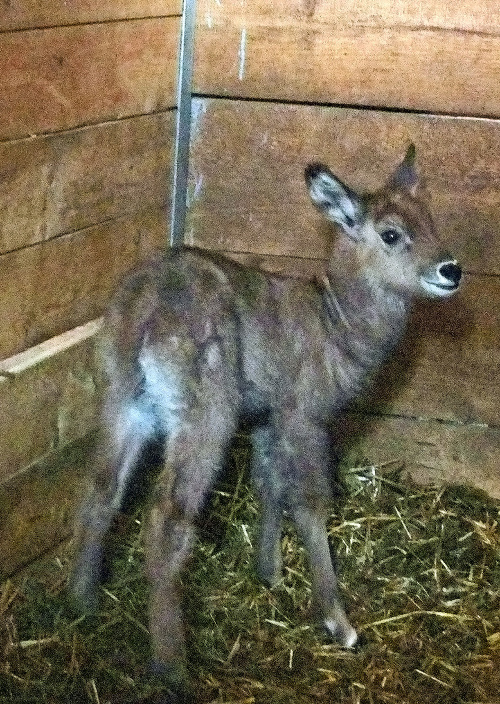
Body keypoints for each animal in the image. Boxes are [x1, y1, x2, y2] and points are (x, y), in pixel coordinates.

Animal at [72, 147, 462, 700]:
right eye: (390, 234)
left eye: (431, 220)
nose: (452, 269)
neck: (336, 325)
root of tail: (146, 306)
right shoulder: (305, 413)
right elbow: (312, 502)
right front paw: (339, 622)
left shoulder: (268, 416)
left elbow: (268, 485)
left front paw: (269, 573)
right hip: (206, 410)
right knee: (168, 514)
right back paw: (173, 667)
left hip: (122, 398)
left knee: (101, 484)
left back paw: (81, 605)